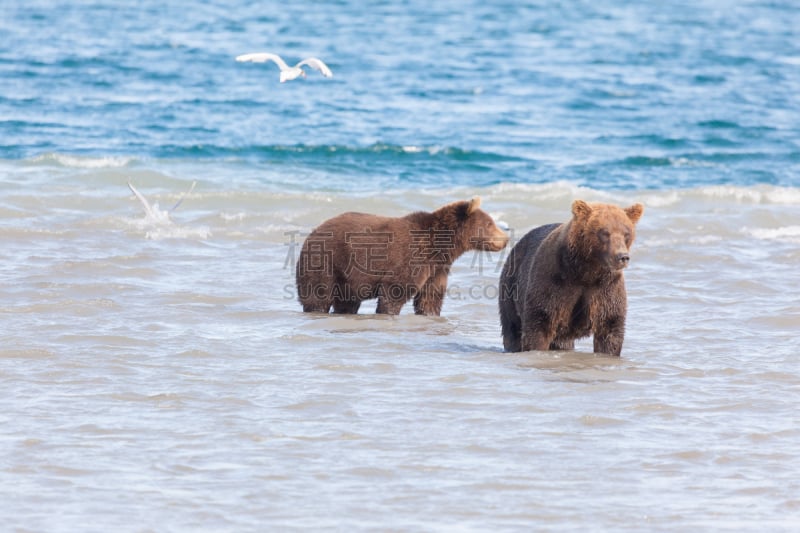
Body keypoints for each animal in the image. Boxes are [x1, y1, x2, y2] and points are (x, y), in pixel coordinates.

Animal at [296, 196, 510, 314]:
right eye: (490, 224)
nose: (506, 239)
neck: (439, 247)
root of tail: (313, 232)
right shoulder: (410, 259)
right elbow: (395, 292)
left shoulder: (436, 268)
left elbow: (430, 298)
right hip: (327, 262)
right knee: (318, 296)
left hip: (348, 278)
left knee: (347, 302)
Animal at [500, 202, 644, 356]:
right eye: (605, 233)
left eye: (626, 233)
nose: (622, 256)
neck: (586, 271)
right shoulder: (555, 282)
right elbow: (540, 323)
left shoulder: (607, 287)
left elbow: (610, 328)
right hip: (510, 288)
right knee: (512, 329)